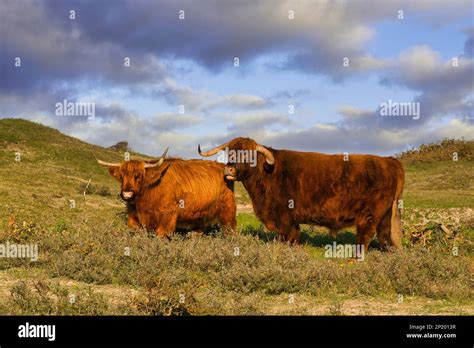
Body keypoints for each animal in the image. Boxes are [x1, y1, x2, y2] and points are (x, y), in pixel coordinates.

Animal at [96, 148, 237, 238]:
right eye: (121, 177)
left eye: (138, 176)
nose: (127, 193)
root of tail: (223, 167)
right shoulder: (133, 214)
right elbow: (134, 229)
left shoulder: (168, 213)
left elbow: (160, 233)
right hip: (202, 210)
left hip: (227, 206)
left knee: (230, 226)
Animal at [199, 138, 404, 250]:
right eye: (230, 153)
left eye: (248, 155)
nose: (229, 170)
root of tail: (389, 161)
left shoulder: (285, 216)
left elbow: (288, 235)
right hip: (386, 214)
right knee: (384, 234)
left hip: (370, 215)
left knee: (366, 235)